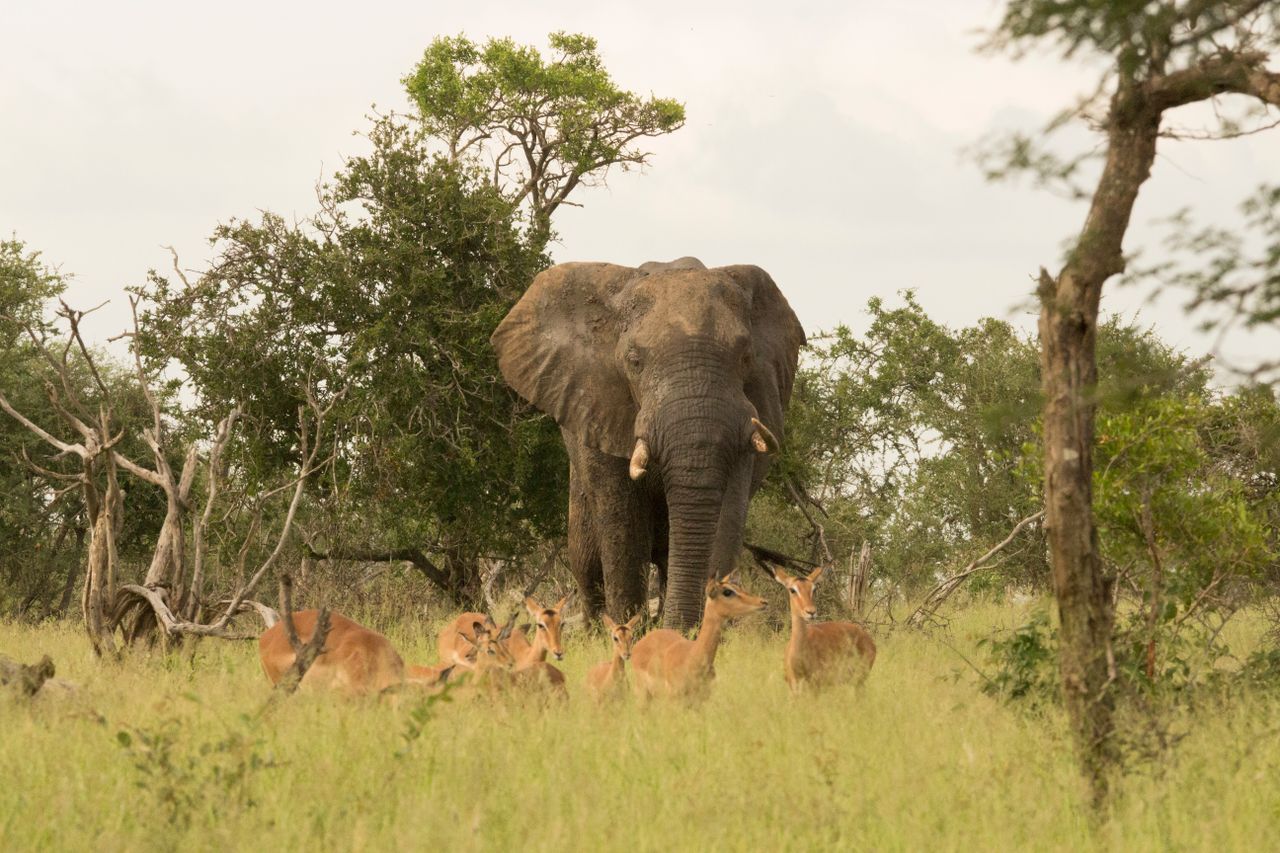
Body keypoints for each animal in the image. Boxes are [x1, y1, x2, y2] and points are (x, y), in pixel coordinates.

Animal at [491, 258, 805, 629]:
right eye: (634, 361)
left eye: (745, 358)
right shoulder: (599, 406)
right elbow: (623, 526)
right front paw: (630, 632)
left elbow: (727, 516)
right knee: (587, 562)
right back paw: (596, 629)